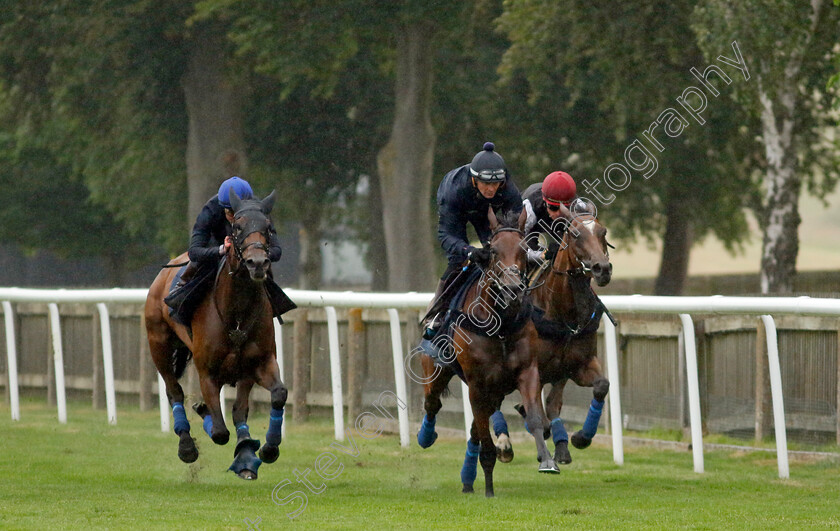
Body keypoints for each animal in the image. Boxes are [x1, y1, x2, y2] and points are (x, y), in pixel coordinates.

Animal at [145, 189, 288, 480]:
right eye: (237, 227)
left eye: (268, 228)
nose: (257, 263)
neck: (236, 313)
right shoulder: (207, 373)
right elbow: (220, 432)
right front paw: (204, 413)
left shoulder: (258, 364)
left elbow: (274, 395)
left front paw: (264, 449)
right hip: (158, 343)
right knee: (174, 392)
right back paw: (187, 445)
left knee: (239, 410)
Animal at [416, 208, 556, 498]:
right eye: (492, 250)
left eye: (524, 248)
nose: (512, 288)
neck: (499, 325)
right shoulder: (477, 385)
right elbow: (486, 444)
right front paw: (489, 490)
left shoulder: (527, 372)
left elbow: (535, 419)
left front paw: (547, 459)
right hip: (437, 371)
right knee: (432, 404)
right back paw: (426, 437)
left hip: (496, 391)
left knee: (473, 430)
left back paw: (468, 479)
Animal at [496, 198, 612, 466]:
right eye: (576, 234)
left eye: (603, 232)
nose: (602, 268)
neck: (561, 312)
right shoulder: (533, 368)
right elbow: (540, 411)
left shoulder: (574, 366)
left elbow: (600, 386)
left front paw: (580, 438)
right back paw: (504, 444)